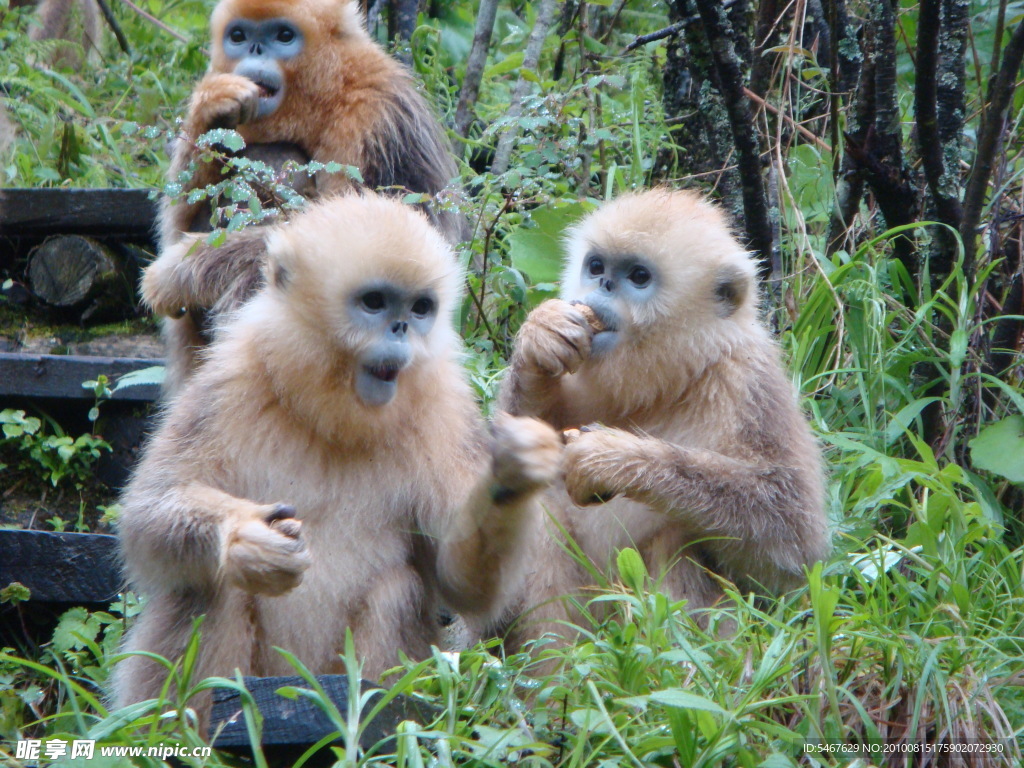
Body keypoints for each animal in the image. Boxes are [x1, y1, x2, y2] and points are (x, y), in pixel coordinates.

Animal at [114, 193, 561, 720]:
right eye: (374, 303)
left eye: (421, 308)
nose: (402, 327)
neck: (328, 416)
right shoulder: (227, 381)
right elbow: (145, 521)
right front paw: (244, 540)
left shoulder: (445, 407)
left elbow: (463, 585)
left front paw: (511, 477)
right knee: (212, 587)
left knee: (397, 591)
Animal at [142, 0, 462, 393]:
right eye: (239, 36)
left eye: (283, 36)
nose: (255, 49)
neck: (322, 97)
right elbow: (176, 227)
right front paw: (212, 108)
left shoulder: (375, 118)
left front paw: (179, 271)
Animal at [497, 186, 831, 651]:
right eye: (596, 267)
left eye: (638, 276)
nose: (603, 284)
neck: (672, 384)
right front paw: (539, 338)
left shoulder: (748, 382)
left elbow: (793, 551)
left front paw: (614, 458)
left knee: (674, 538)